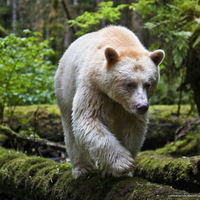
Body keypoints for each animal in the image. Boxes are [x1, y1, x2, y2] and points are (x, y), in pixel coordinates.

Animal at [54, 25, 165, 180]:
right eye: (129, 84)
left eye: (148, 84)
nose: (142, 106)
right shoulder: (93, 87)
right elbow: (88, 119)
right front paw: (124, 163)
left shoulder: (127, 107)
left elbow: (131, 126)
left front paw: (119, 170)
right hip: (65, 88)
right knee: (70, 128)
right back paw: (82, 167)